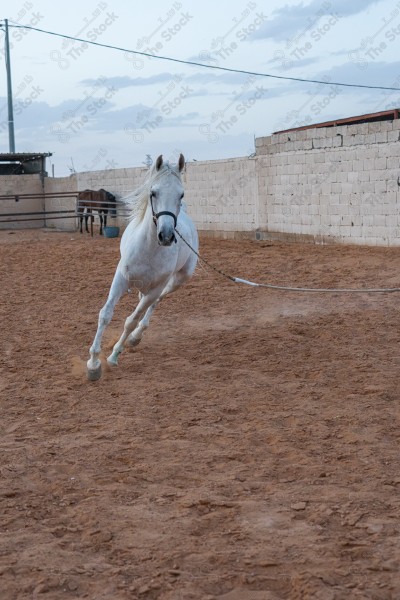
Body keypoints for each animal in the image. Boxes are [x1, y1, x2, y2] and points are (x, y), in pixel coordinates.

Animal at [88, 155, 199, 380]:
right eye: (153, 192)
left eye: (181, 194)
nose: (166, 236)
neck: (148, 248)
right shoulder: (121, 279)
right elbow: (105, 315)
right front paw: (93, 363)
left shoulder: (156, 288)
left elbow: (132, 319)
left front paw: (114, 355)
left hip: (177, 280)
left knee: (154, 303)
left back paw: (135, 337)